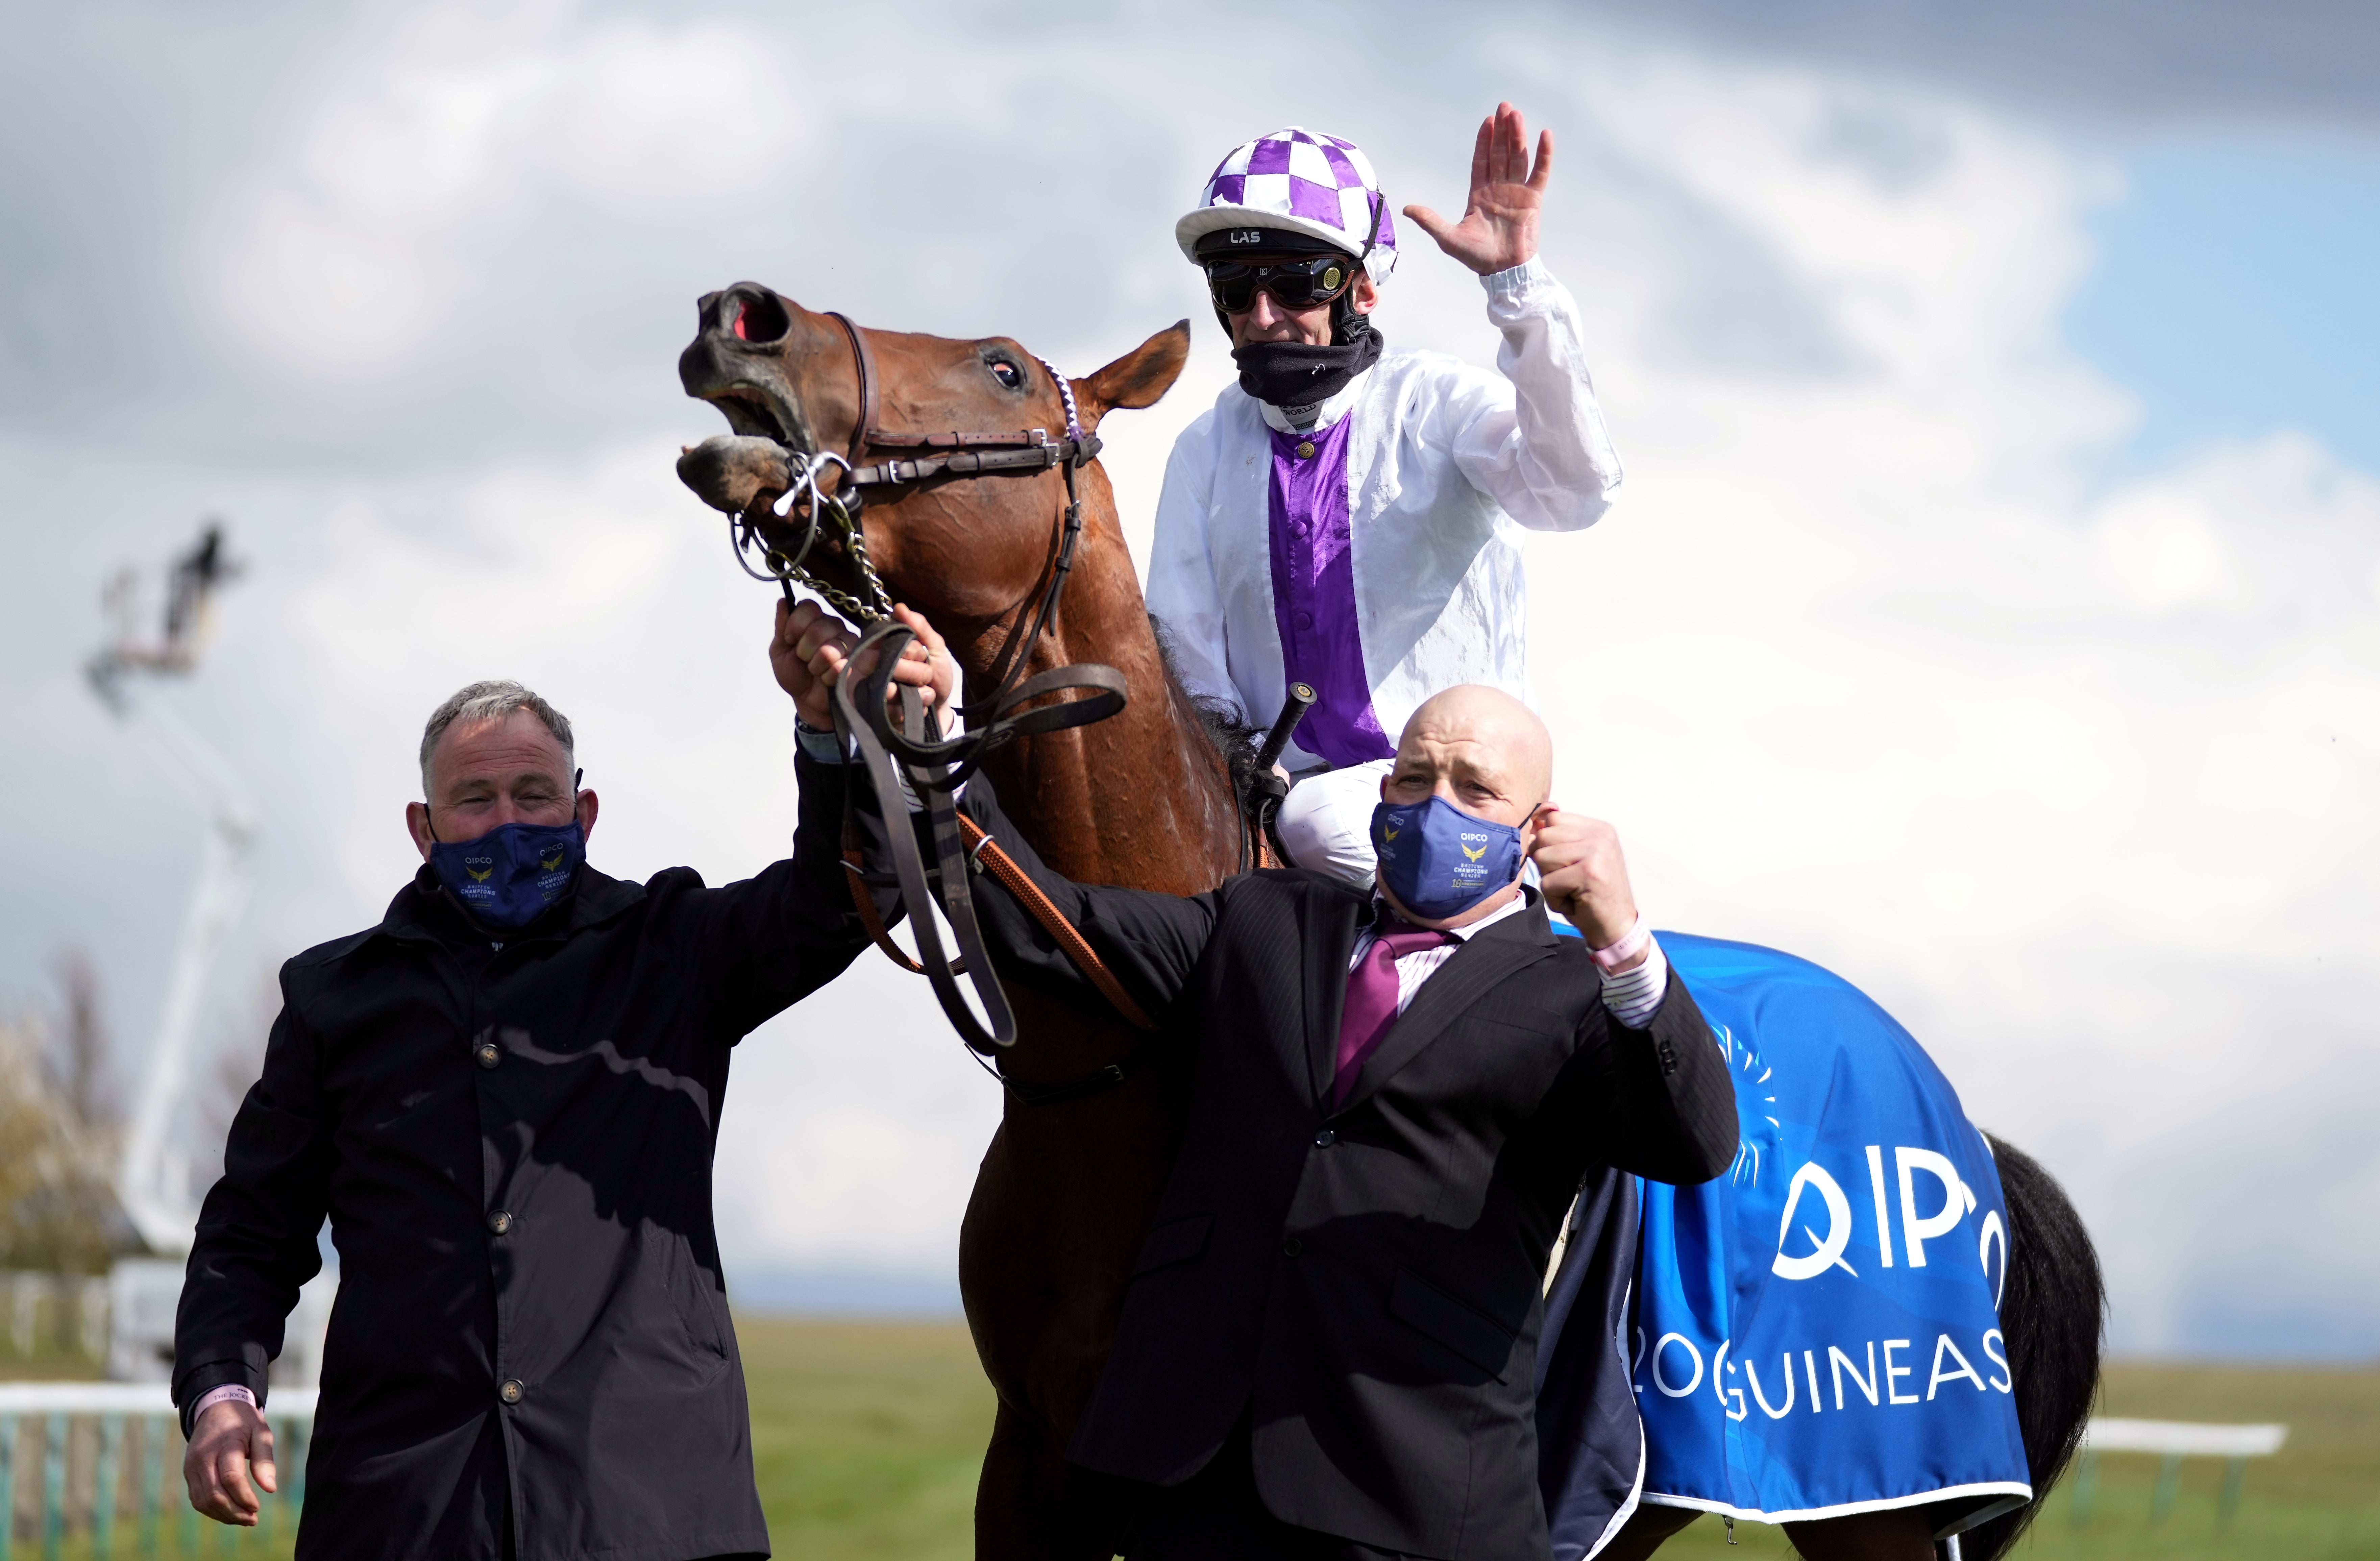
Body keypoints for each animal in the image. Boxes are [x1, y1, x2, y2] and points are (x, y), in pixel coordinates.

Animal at [676, 283, 2104, 1561]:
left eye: (1005, 366)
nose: (743, 318)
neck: (1125, 1065)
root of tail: (1961, 1119)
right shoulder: (1034, 1463)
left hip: (1879, 1488)